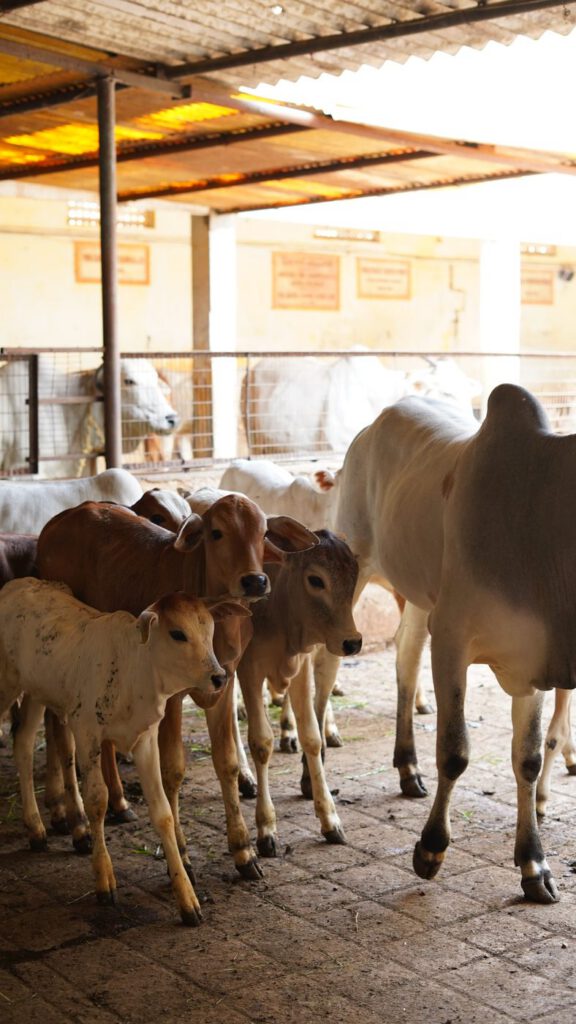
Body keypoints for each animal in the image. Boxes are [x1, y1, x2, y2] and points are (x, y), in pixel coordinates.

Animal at [0, 577, 248, 924]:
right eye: (177, 633)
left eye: (210, 628)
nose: (219, 677)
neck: (136, 671)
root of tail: (17, 584)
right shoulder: (87, 731)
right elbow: (97, 801)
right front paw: (104, 879)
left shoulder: (146, 738)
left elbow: (162, 812)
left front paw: (187, 899)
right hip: (5, 684)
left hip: (35, 691)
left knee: (22, 743)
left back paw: (35, 829)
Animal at [36, 496, 318, 880]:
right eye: (216, 532)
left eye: (263, 533)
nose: (255, 581)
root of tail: (56, 523)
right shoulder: (168, 698)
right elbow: (172, 770)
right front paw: (182, 855)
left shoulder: (223, 684)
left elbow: (227, 761)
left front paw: (243, 851)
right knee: (59, 735)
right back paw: (76, 822)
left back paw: (118, 803)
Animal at [314, 385, 569, 903]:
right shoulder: (452, 641)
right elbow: (455, 752)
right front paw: (430, 849)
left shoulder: (532, 663)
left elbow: (528, 759)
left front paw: (534, 865)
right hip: (355, 564)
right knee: (327, 665)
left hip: (417, 594)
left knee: (405, 658)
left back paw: (407, 766)